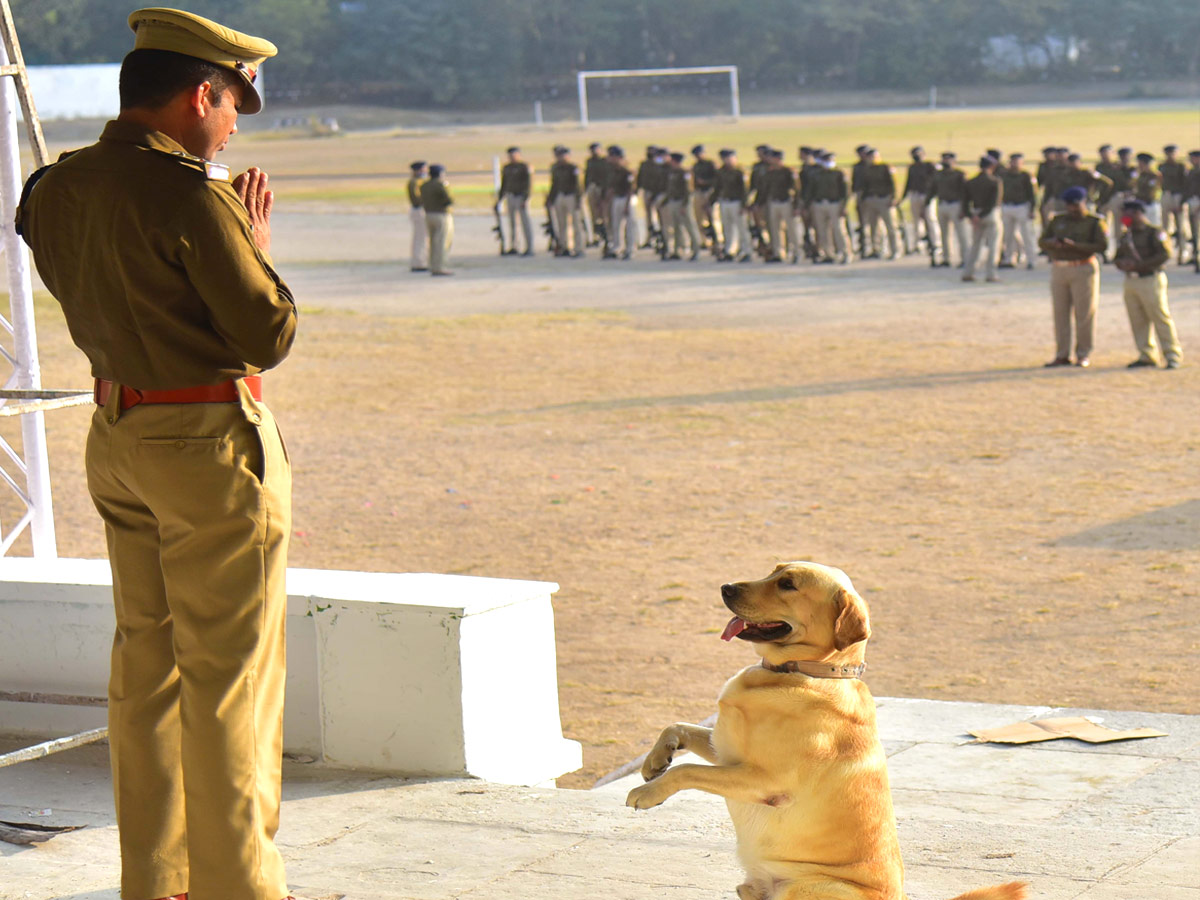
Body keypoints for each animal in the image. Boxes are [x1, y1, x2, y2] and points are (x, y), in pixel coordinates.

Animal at [624, 564, 1027, 900]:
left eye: (788, 584)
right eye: (773, 571)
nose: (725, 587)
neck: (804, 672)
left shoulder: (764, 781)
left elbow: (687, 770)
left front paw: (648, 792)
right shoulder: (726, 750)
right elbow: (679, 728)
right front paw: (654, 761)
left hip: (802, 889)